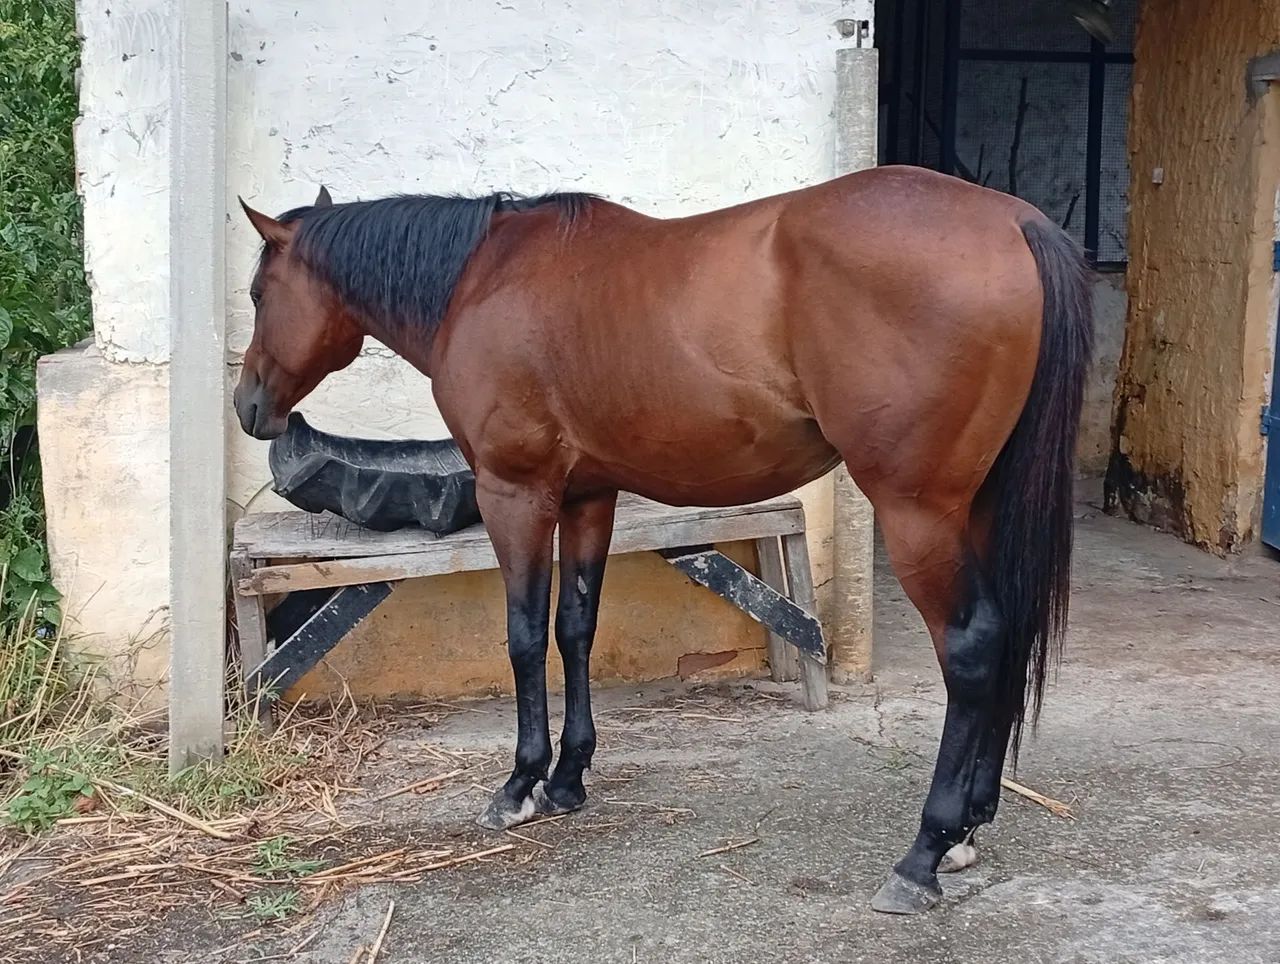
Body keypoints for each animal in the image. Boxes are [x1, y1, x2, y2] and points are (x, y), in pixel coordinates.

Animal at [234, 166, 1093, 914]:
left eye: (256, 293)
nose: (248, 404)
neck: (480, 278)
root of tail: (1012, 222)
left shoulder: (516, 494)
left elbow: (522, 635)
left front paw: (519, 786)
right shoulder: (587, 496)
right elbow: (575, 627)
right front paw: (568, 780)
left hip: (918, 513)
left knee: (974, 648)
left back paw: (924, 852)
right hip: (976, 508)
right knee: (1008, 634)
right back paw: (970, 828)